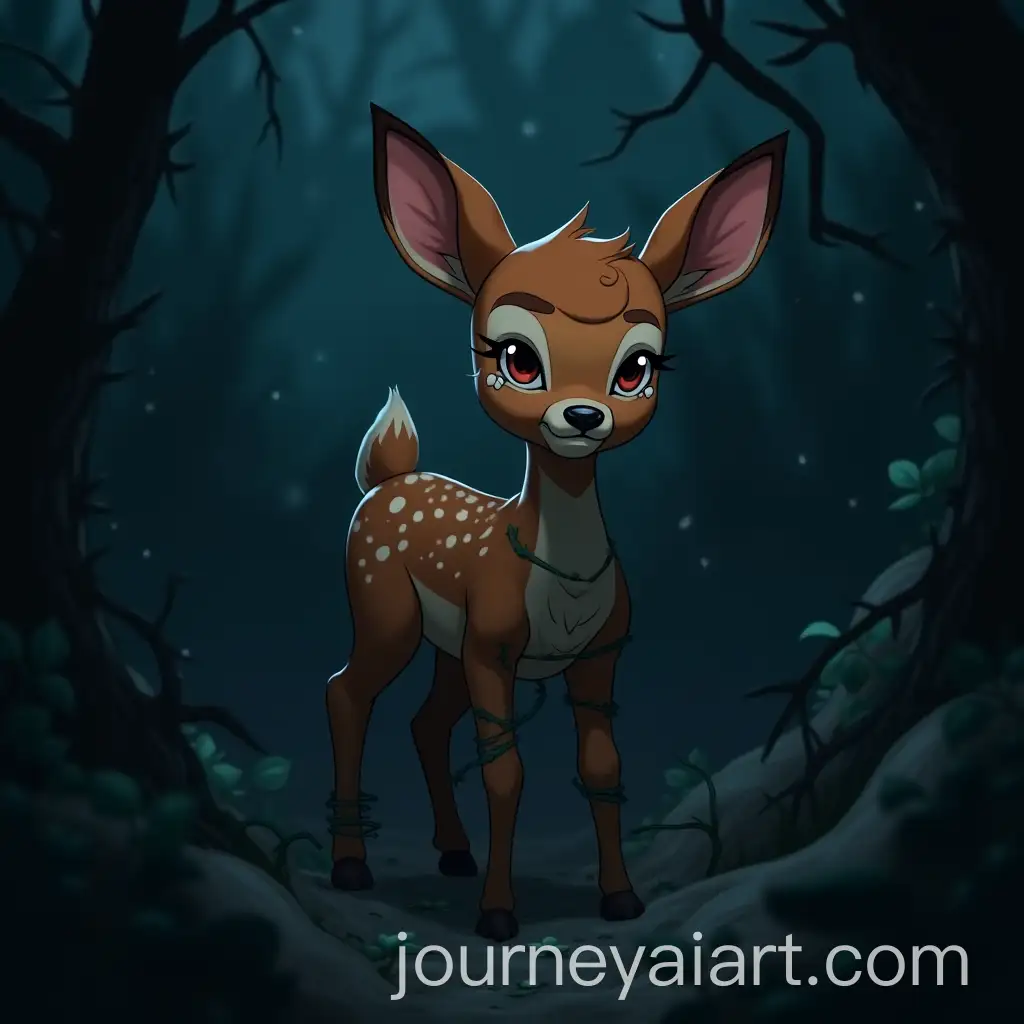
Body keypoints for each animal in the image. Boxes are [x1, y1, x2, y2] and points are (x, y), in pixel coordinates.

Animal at [325, 103, 787, 942]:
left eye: (638, 366)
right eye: (515, 357)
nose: (582, 416)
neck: (560, 591)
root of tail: (387, 477)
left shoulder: (600, 653)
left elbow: (602, 769)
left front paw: (621, 898)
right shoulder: (494, 647)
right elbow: (506, 774)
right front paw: (499, 915)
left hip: (446, 643)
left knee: (424, 723)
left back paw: (452, 852)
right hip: (386, 608)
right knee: (347, 693)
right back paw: (350, 864)